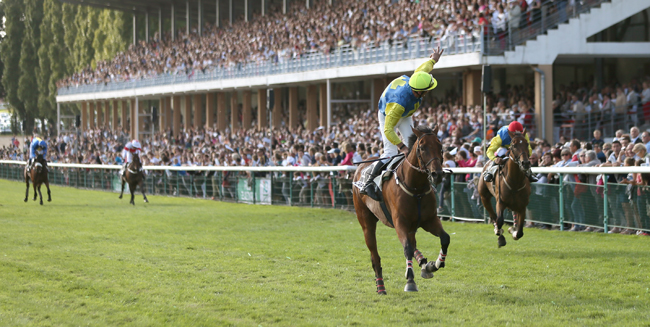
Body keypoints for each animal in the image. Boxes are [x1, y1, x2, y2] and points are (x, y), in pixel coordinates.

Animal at [352, 125, 448, 294]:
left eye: (440, 146)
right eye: (422, 147)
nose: (437, 174)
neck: (416, 188)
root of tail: (359, 169)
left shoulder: (429, 220)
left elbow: (445, 238)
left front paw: (435, 264)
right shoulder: (399, 222)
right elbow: (407, 248)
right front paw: (410, 281)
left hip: (411, 227)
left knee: (413, 243)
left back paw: (424, 264)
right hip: (366, 222)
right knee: (375, 256)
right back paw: (381, 287)